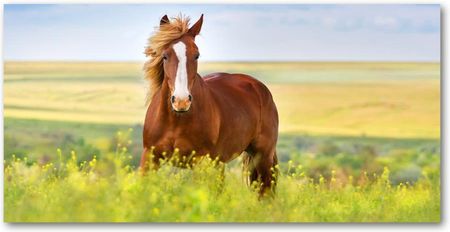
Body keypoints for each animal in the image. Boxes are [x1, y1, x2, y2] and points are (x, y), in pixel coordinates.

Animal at [140, 14, 278, 196]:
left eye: (196, 55)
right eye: (165, 56)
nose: (181, 101)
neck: (176, 120)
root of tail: (258, 87)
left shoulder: (200, 162)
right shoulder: (149, 158)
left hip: (263, 157)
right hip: (220, 163)